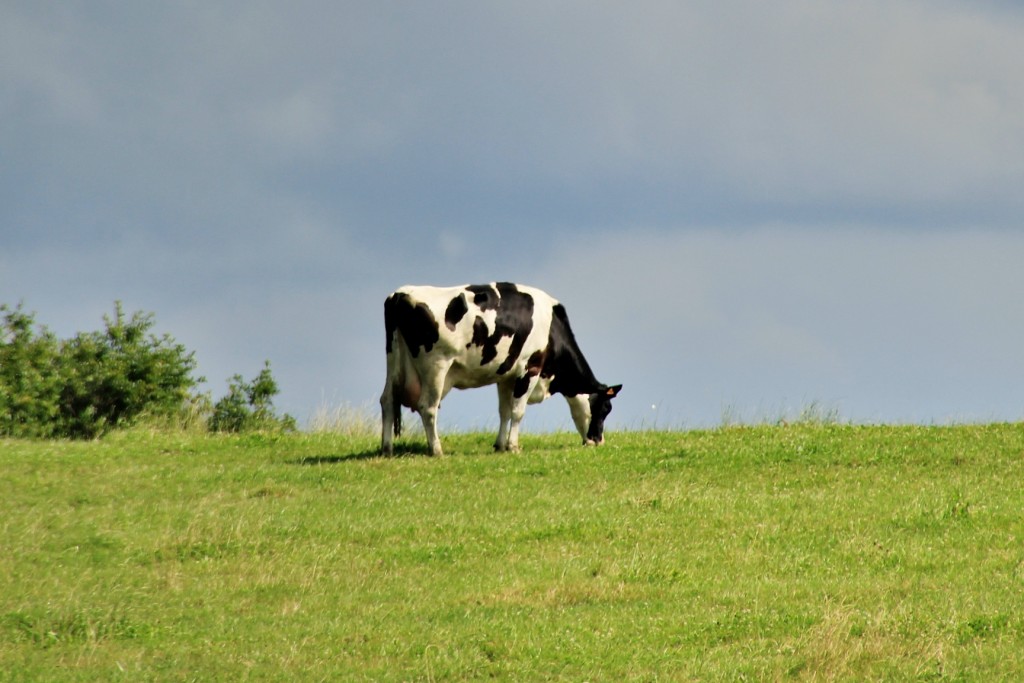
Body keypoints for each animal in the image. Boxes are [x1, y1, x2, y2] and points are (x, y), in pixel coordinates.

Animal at [382, 280, 622, 456]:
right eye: (605, 408)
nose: (598, 441)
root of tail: (400, 293)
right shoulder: (530, 369)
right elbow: (517, 411)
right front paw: (513, 446)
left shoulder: (506, 376)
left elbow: (504, 411)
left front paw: (500, 445)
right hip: (436, 366)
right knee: (428, 407)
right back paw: (437, 450)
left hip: (393, 362)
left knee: (387, 401)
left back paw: (387, 449)